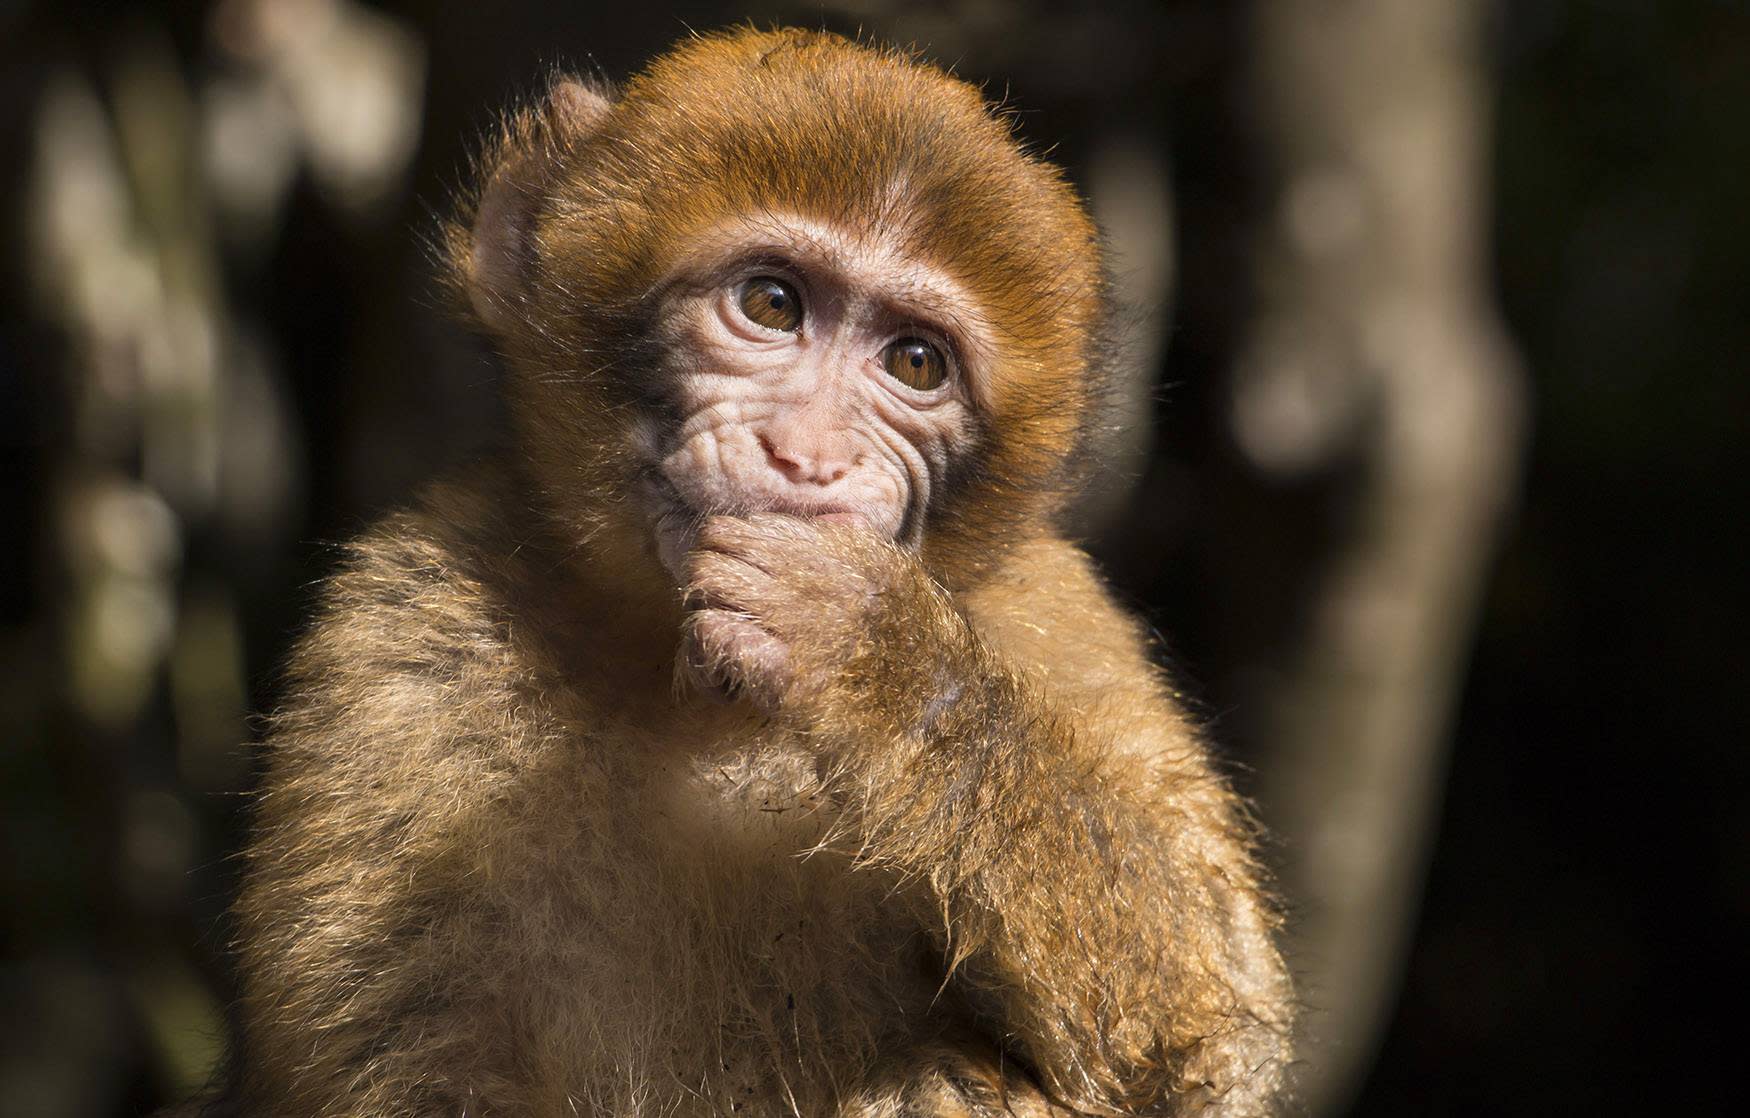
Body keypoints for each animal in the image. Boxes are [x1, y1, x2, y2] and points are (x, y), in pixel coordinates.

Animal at [225, 26, 1295, 1118]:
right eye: (771, 303)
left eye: (916, 363)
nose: (808, 457)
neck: (697, 695)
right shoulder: (402, 634)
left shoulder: (1055, 614)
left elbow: (1212, 1027)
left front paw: (871, 651)